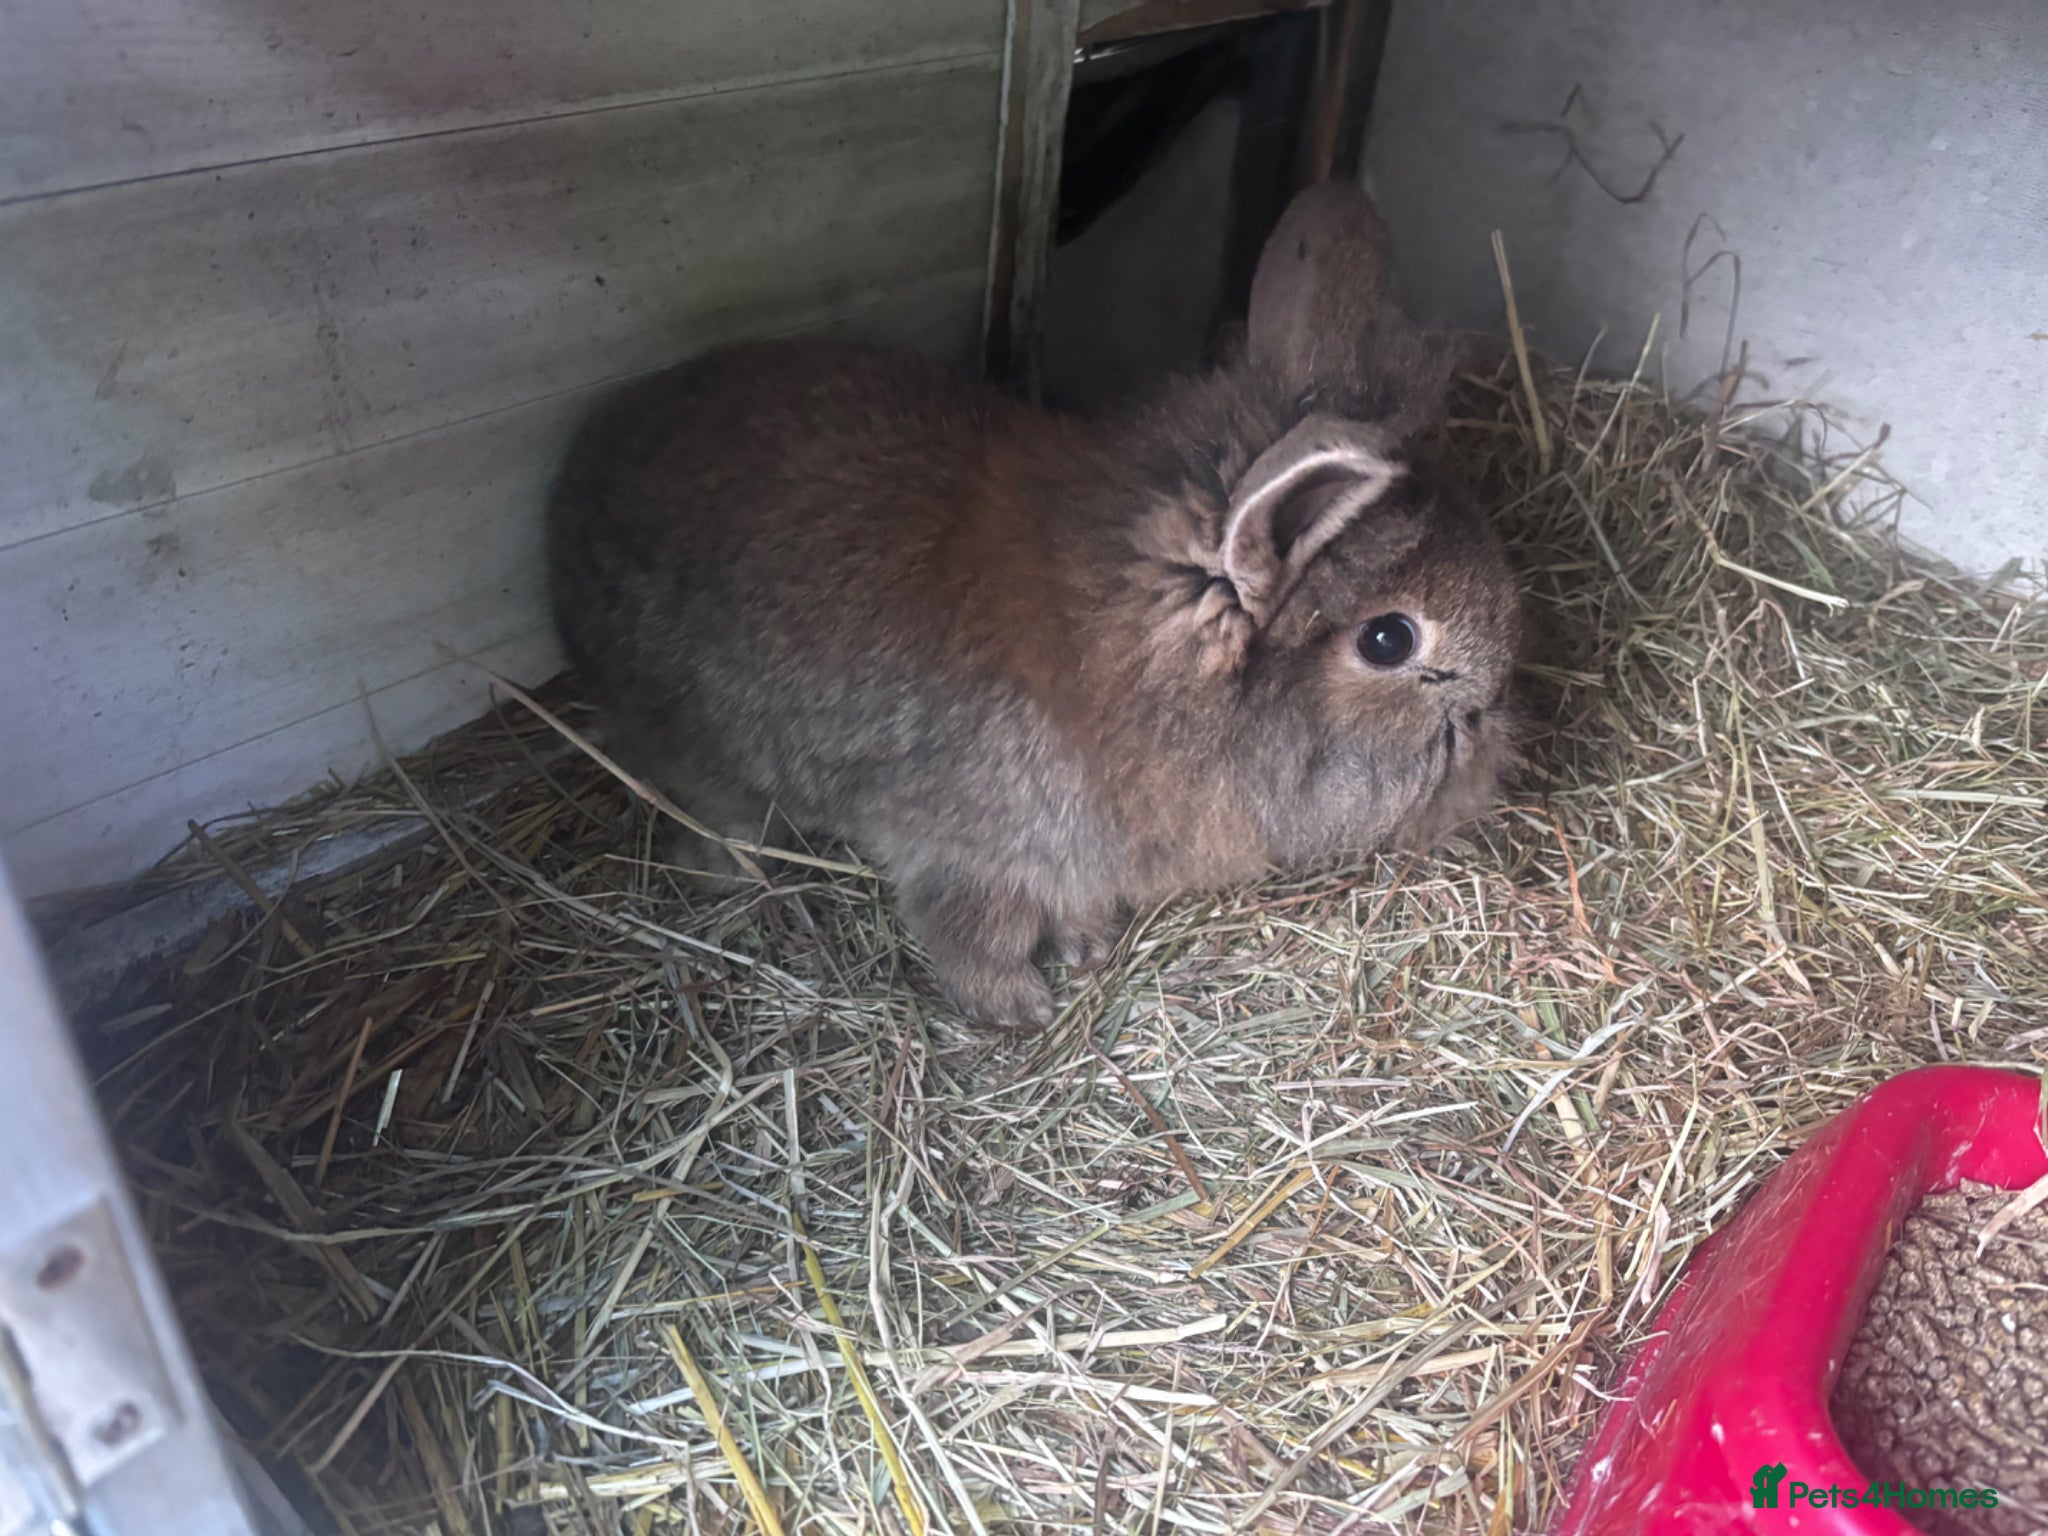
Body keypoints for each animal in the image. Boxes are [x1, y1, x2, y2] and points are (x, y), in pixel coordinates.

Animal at [545, 179, 1523, 1030]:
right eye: (1389, 639)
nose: (1493, 728)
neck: (1117, 662)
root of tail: (567, 495)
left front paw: (1086, 949)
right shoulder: (972, 853)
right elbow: (973, 933)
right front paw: (1017, 1008)